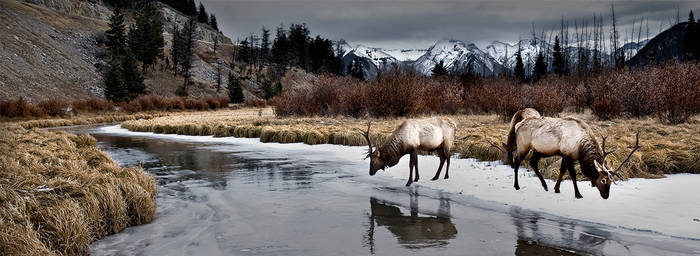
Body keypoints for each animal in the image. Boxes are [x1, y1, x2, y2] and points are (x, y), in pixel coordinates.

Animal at [486, 107, 640, 198]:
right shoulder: (567, 154)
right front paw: (578, 194)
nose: (606, 196)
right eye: (603, 180)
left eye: (611, 182)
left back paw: (545, 185)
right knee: (518, 162)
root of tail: (518, 124)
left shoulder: (564, 154)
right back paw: (517, 185)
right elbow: (572, 174)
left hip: (539, 150)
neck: (581, 147)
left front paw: (556, 188)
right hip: (524, 145)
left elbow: (561, 171)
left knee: (533, 162)